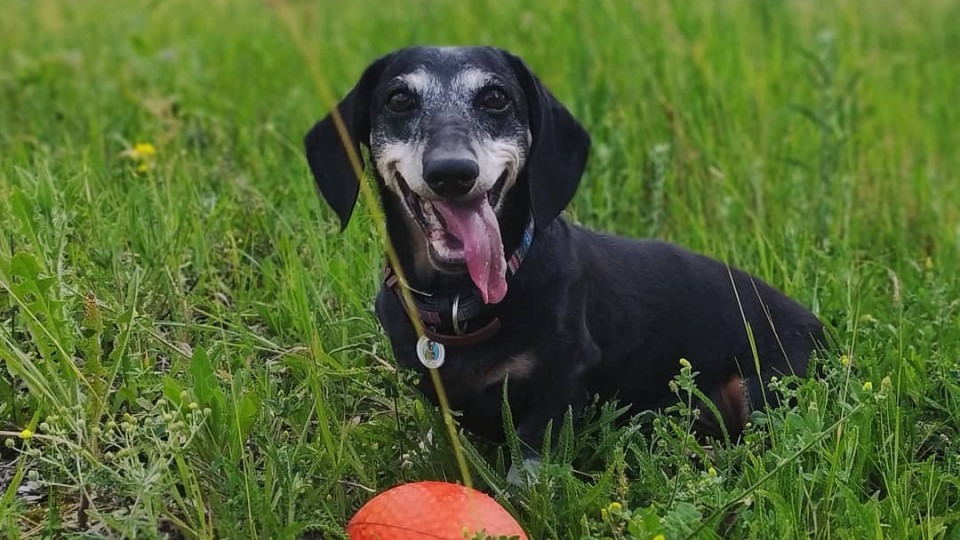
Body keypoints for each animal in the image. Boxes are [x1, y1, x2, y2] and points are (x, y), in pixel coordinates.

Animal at [302, 45, 824, 452]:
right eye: (398, 99)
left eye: (495, 98)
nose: (452, 173)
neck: (460, 303)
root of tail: (821, 329)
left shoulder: (561, 382)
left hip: (759, 388)